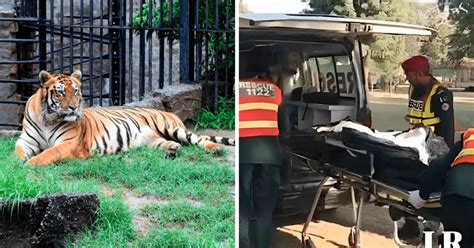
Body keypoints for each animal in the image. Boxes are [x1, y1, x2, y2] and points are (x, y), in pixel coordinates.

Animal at [14, 70, 235, 167]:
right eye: (60, 92)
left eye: (76, 91)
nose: (74, 108)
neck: (48, 118)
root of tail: (171, 112)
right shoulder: (26, 140)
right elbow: (16, 151)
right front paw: (16, 161)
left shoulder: (70, 143)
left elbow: (50, 153)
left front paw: (31, 163)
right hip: (150, 140)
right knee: (169, 143)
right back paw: (171, 150)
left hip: (174, 128)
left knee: (199, 139)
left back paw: (214, 148)